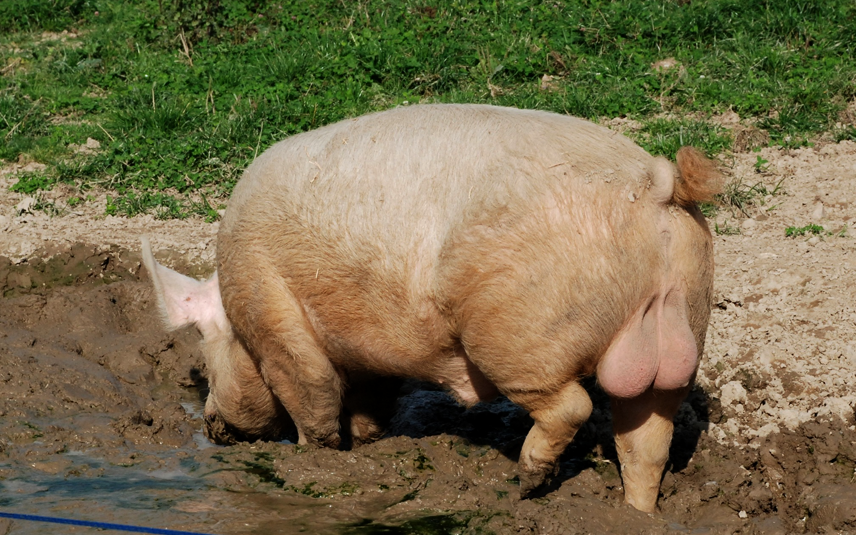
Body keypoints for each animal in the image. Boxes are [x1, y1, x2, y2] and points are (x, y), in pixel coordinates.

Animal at [145, 102, 724, 512]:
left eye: (206, 354)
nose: (210, 423)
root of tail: (659, 185)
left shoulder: (272, 313)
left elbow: (311, 393)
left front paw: (315, 460)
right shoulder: (367, 350)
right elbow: (369, 404)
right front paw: (366, 441)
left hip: (515, 331)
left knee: (572, 407)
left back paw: (526, 483)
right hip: (682, 320)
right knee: (648, 440)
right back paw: (638, 512)